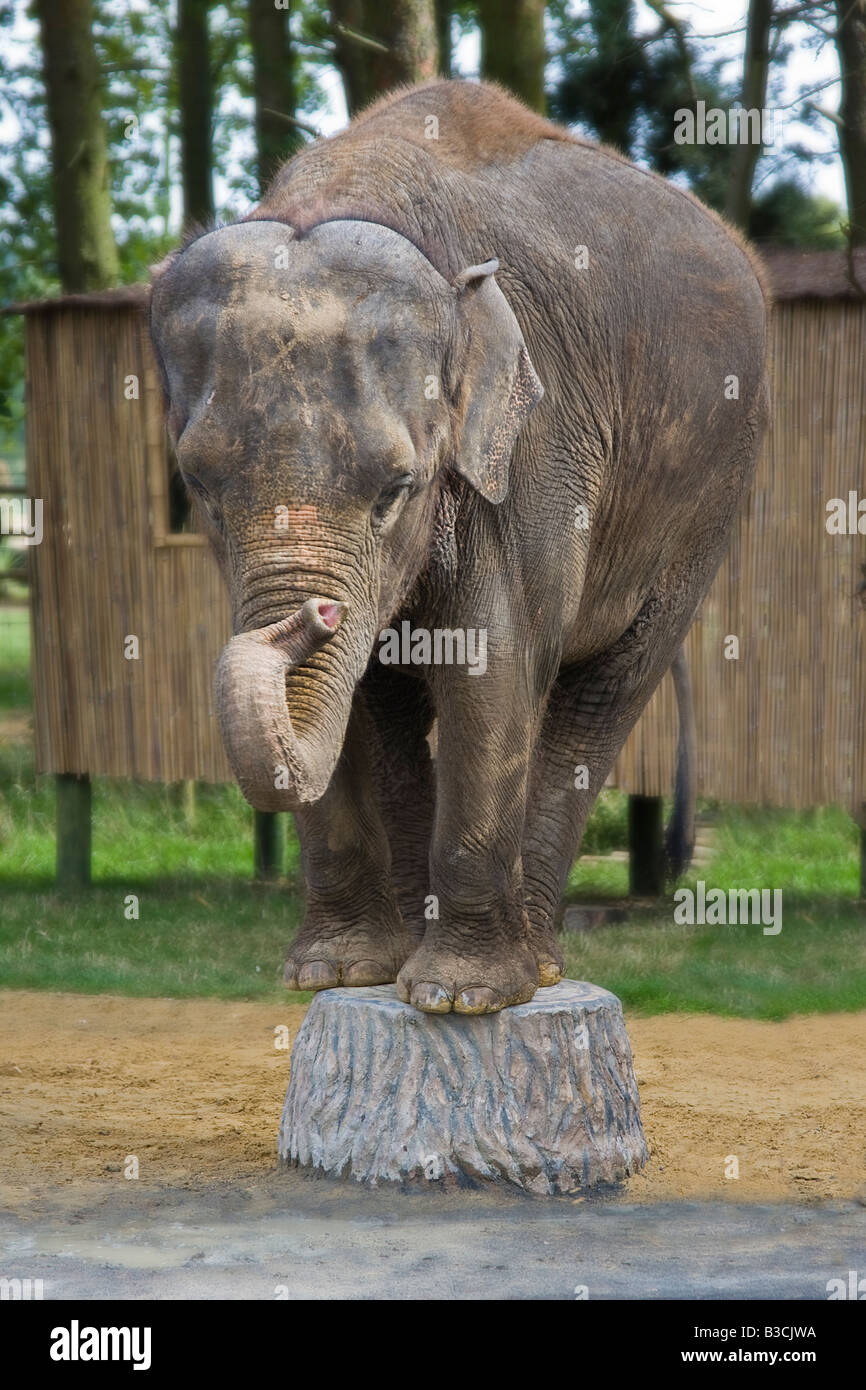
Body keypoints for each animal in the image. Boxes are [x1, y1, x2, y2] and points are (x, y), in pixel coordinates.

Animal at [150, 79, 768, 1015]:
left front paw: (459, 998)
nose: (317, 612)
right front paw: (335, 975)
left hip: (714, 494)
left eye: (397, 488)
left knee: (605, 695)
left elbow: (490, 670)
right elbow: (360, 704)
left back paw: (536, 966)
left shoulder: (533, 448)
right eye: (200, 485)